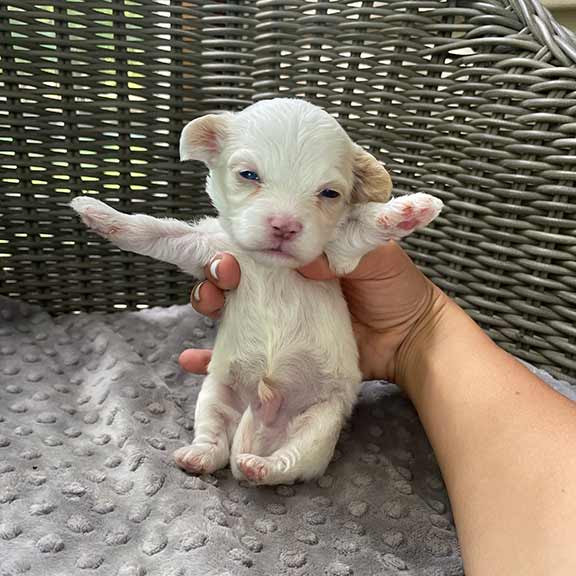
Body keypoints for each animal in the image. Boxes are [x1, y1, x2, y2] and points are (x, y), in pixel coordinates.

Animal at [71, 99, 440, 486]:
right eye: (249, 175)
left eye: (329, 193)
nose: (285, 225)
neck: (271, 267)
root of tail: (266, 422)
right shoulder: (210, 247)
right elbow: (154, 232)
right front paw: (99, 213)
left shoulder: (335, 256)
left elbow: (362, 226)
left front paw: (409, 210)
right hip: (217, 391)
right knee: (216, 440)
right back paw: (199, 456)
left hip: (322, 422)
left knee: (290, 461)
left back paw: (260, 466)